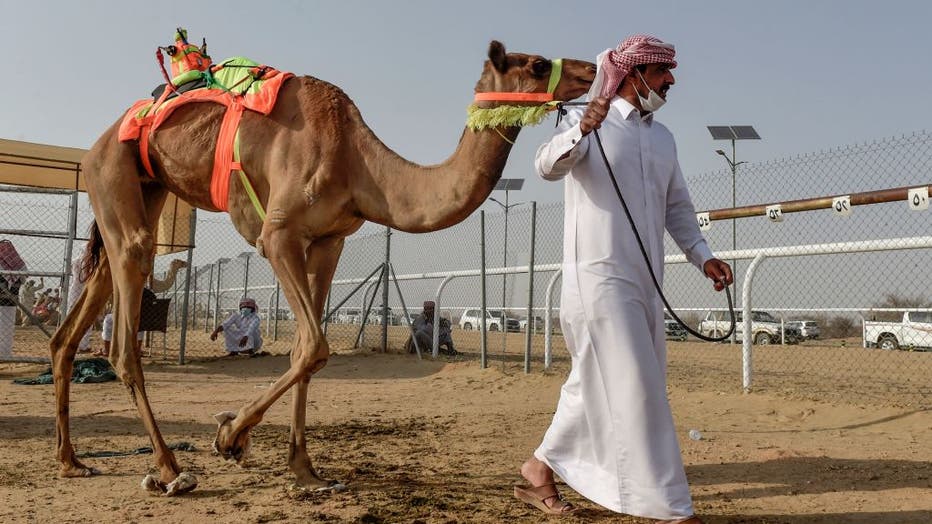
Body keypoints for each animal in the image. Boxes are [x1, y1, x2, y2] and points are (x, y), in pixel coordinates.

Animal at [47, 41, 592, 496]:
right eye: (537, 64)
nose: (589, 70)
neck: (358, 163)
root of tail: (96, 146)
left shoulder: (329, 241)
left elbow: (304, 353)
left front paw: (304, 469)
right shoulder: (279, 235)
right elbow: (314, 344)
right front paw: (229, 436)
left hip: (144, 188)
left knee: (70, 329)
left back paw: (72, 461)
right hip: (113, 172)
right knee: (123, 333)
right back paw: (170, 469)